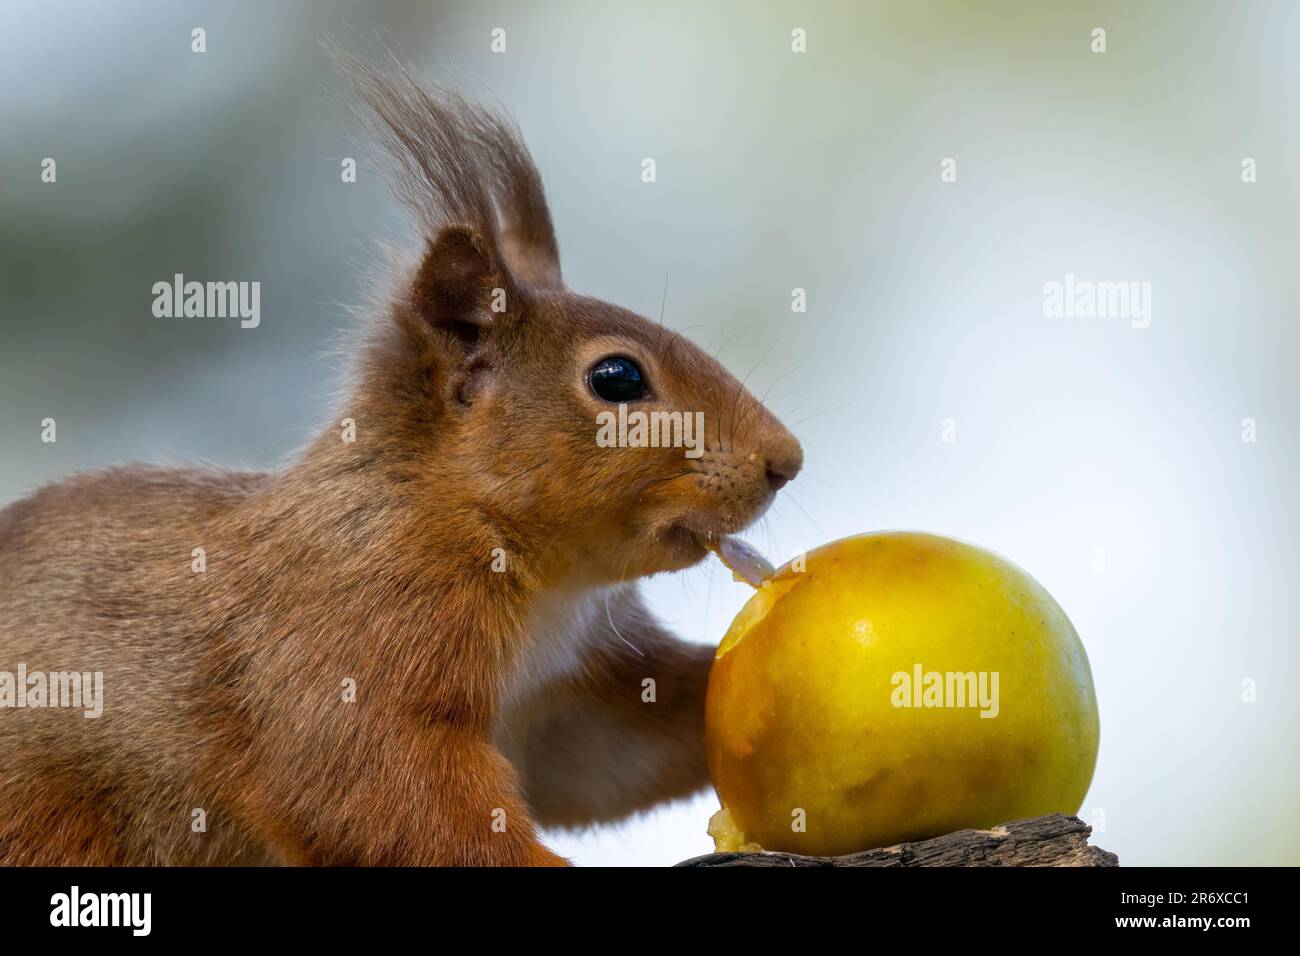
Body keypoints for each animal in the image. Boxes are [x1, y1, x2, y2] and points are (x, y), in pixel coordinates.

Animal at [0, 60, 802, 866]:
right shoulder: (355, 626)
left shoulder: (567, 699)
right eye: (617, 379)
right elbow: (370, 780)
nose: (786, 462)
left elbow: (613, 752)